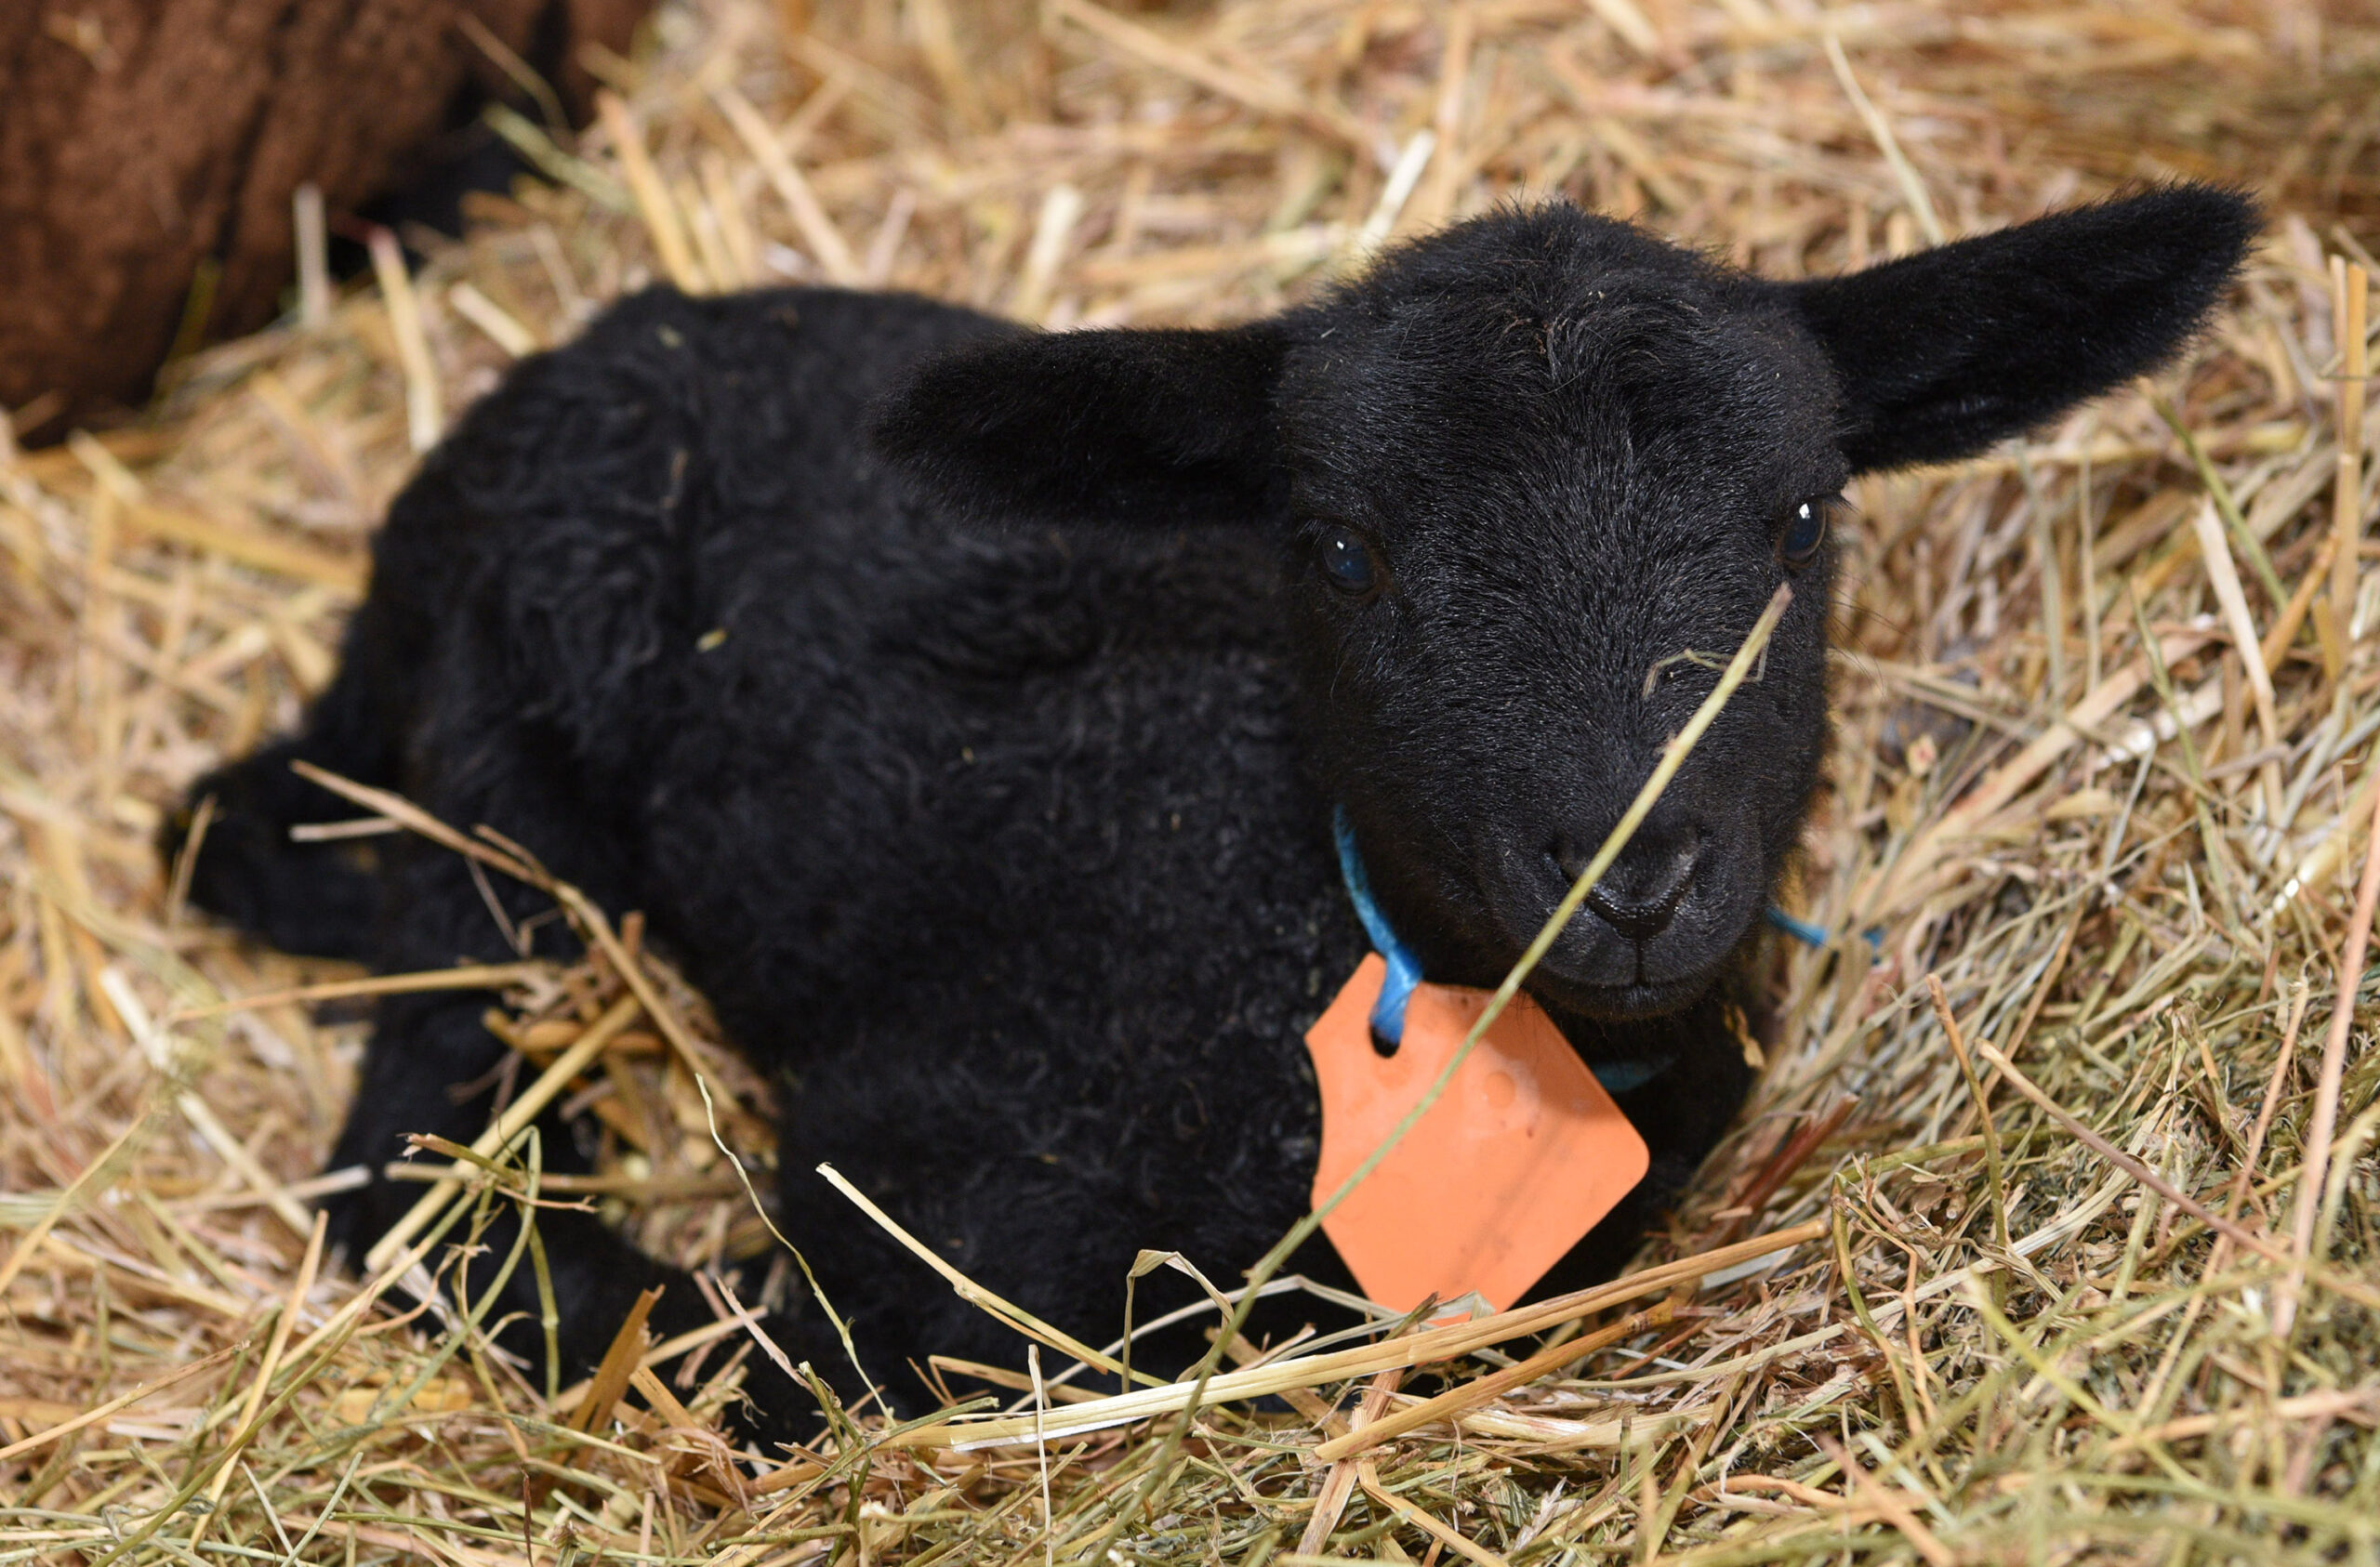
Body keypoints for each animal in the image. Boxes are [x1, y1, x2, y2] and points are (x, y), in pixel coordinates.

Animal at [168, 190, 2255, 1439]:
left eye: (1804, 519)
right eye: (1333, 549)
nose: (1630, 869)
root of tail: (612, 337)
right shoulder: (914, 1178)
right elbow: (805, 1353)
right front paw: (663, 1321)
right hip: (504, 766)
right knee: (408, 1125)